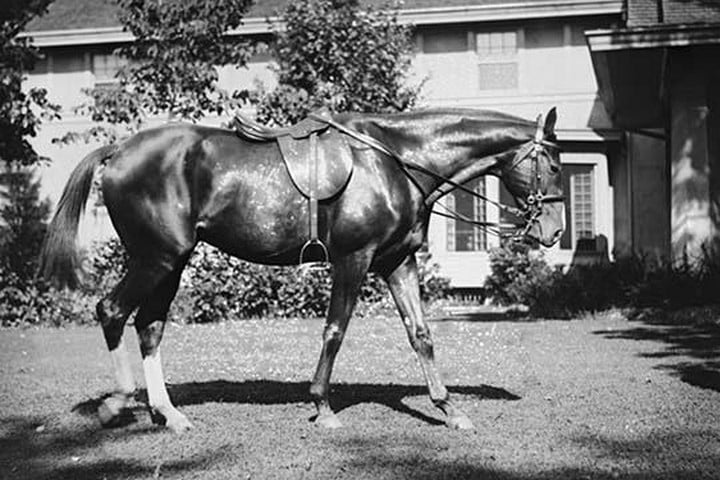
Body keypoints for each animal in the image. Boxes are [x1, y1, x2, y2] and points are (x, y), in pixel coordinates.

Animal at [39, 107, 564, 433]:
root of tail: (119, 151)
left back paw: (168, 413)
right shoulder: (354, 259)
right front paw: (322, 407)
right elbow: (335, 330)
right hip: (158, 257)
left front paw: (449, 410)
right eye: (556, 165)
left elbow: (421, 335)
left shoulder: (398, 262)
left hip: (170, 262)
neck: (395, 162)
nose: (555, 231)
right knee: (111, 311)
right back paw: (117, 403)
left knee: (149, 325)